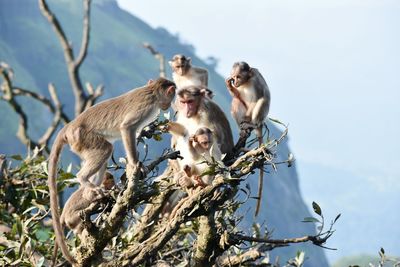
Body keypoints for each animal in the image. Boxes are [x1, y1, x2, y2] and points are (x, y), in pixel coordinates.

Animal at [47, 78, 176, 266]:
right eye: (171, 95)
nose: (168, 105)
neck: (152, 90)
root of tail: (68, 127)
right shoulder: (146, 105)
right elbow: (127, 128)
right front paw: (135, 165)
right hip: (82, 137)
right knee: (105, 149)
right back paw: (86, 182)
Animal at [225, 61, 272, 217]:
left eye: (238, 76)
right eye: (233, 77)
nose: (235, 81)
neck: (247, 81)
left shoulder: (256, 80)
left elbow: (258, 98)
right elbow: (238, 95)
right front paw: (229, 86)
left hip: (259, 117)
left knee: (262, 100)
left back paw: (251, 124)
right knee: (236, 101)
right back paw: (242, 127)